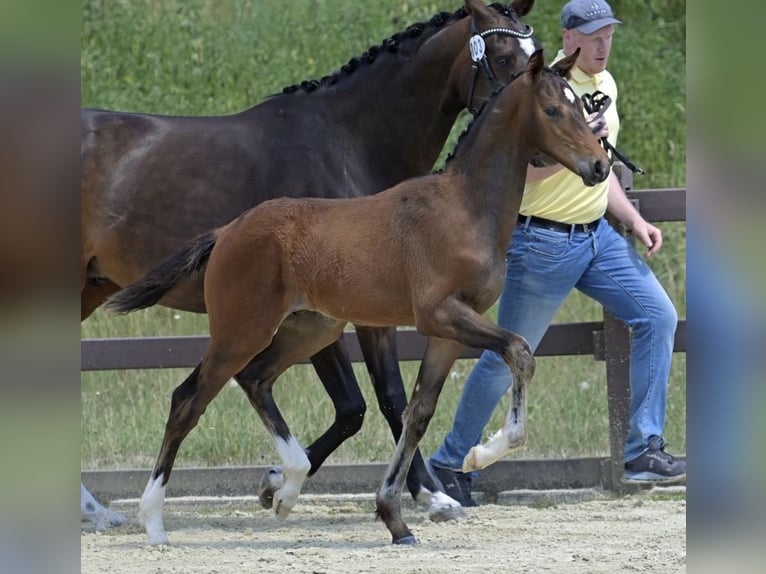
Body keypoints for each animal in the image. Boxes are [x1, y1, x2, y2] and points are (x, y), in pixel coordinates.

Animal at [107, 48, 610, 545]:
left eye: (583, 107)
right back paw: (155, 521)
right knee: (188, 400)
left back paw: (285, 487)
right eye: (552, 109)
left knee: (255, 380)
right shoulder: (440, 314)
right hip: (241, 331)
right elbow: (519, 352)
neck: (464, 208)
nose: (599, 166)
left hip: (310, 329)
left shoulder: (448, 333)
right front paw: (480, 454)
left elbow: (417, 412)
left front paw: (398, 516)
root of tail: (228, 230)